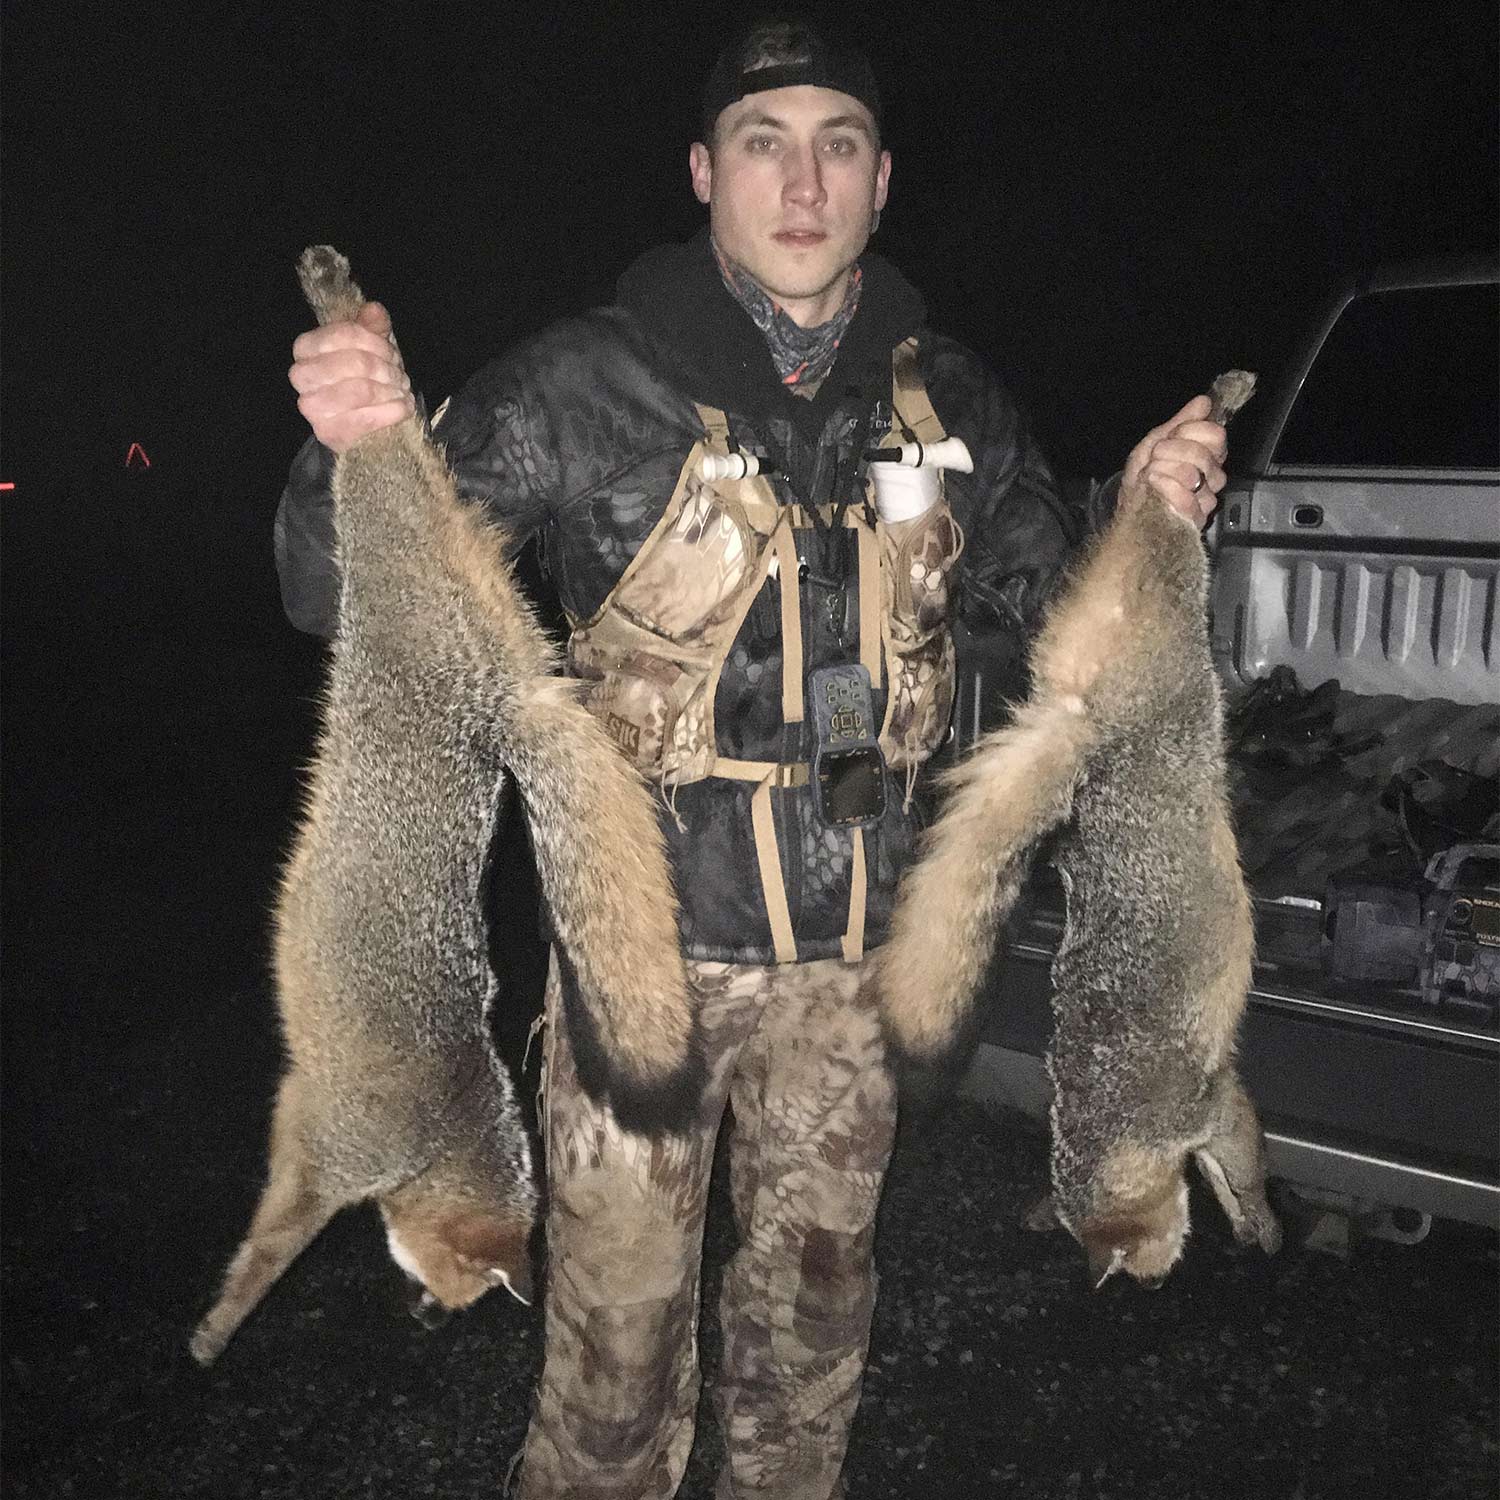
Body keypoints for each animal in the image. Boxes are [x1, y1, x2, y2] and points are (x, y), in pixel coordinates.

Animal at [190, 252, 699, 1368]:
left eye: (443, 1297)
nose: (425, 1319)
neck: (438, 1135)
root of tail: (503, 694)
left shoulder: (299, 1117)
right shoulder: (321, 1159)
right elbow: (266, 1260)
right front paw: (218, 1330)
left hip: (435, 540)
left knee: (407, 448)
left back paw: (353, 321)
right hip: (394, 544)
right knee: (380, 448)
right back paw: (340, 314)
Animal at [876, 375, 1278, 1290]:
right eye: (1146, 1270)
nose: (1154, 1285)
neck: (1105, 1110)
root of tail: (1082, 724)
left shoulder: (1210, 1104)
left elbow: (1243, 1169)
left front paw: (1264, 1227)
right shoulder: (1217, 1098)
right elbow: (1230, 1169)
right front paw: (1254, 1228)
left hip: (1160, 591)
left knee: (1148, 514)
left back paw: (1203, 421)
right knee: (1139, 517)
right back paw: (1190, 434)